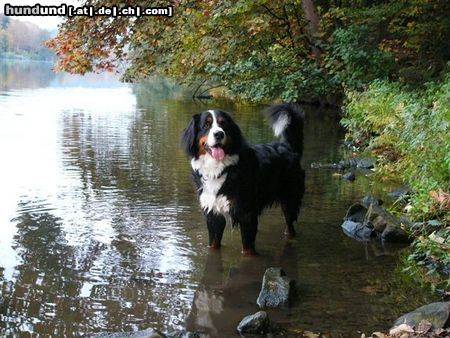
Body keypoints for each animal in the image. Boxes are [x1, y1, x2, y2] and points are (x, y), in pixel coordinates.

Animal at [181, 104, 304, 255]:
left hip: (290, 201)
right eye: (206, 125)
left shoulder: (247, 214)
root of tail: (287, 146)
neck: (220, 170)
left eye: (223, 124)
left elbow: (247, 250)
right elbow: (214, 245)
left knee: (290, 227)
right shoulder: (213, 214)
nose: (219, 134)